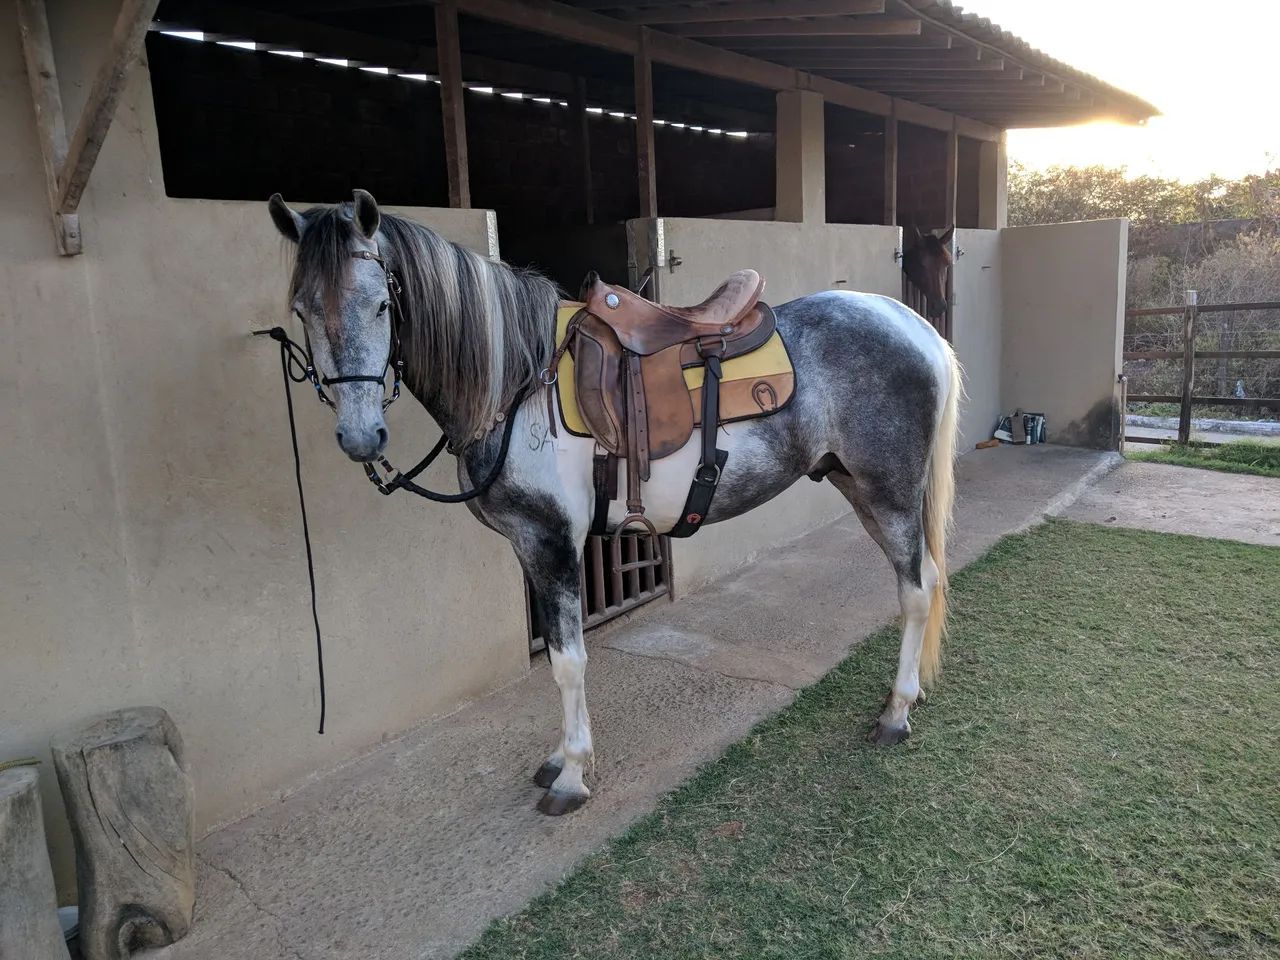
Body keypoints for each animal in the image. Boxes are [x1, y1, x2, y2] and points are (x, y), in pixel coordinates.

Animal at [266, 190, 962, 816]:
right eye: (301, 309)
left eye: (383, 304)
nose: (361, 436)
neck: (519, 381)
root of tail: (913, 324)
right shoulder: (527, 545)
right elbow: (555, 647)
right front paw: (560, 759)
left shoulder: (551, 540)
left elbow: (568, 661)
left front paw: (573, 776)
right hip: (857, 485)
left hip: (888, 491)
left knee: (916, 589)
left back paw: (897, 712)